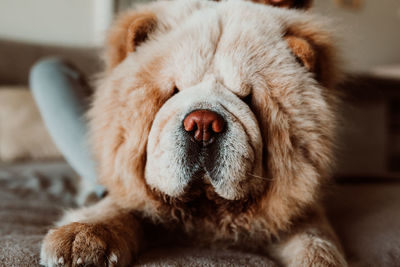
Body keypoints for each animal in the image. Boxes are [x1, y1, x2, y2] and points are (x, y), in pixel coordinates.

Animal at [39, 1, 346, 266]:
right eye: (174, 91)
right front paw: (81, 237)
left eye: (247, 98)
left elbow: (316, 239)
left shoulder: (299, 213)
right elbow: (118, 208)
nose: (203, 124)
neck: (206, 212)